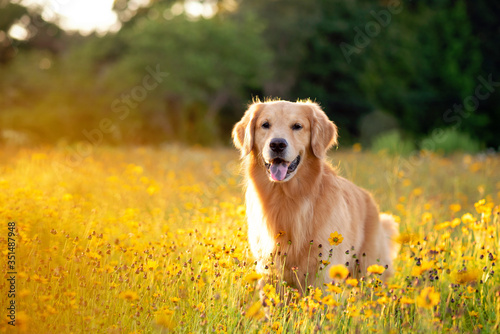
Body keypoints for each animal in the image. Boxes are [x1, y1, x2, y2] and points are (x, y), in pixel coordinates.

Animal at [232, 99, 400, 292]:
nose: (277, 144)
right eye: (265, 125)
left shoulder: (325, 269)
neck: (287, 197)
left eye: (297, 126)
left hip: (369, 268)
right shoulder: (268, 268)